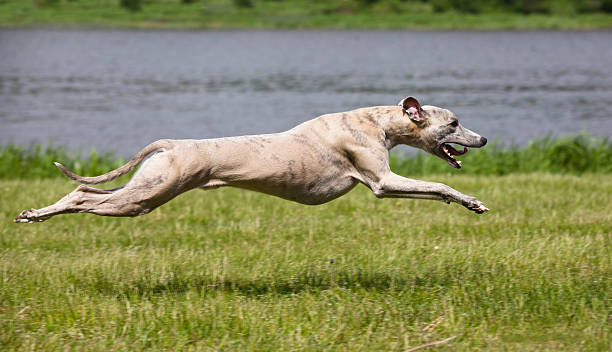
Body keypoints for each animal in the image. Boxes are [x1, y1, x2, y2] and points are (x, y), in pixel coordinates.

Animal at [15, 96, 488, 223]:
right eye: (454, 122)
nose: (483, 138)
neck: (379, 121)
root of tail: (171, 144)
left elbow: (437, 190)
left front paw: (466, 203)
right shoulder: (383, 184)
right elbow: (439, 185)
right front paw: (471, 200)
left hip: (144, 188)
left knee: (81, 189)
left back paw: (33, 213)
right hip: (142, 198)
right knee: (83, 196)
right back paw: (36, 214)